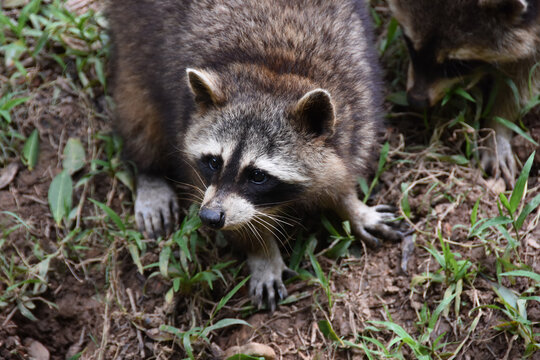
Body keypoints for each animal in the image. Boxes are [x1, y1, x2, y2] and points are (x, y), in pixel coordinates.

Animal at [109, 0, 402, 310]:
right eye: (214, 162)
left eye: (258, 176)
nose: (209, 217)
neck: (274, 72)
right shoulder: (186, 131)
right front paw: (261, 251)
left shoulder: (358, 110)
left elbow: (341, 173)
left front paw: (351, 205)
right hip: (132, 37)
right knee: (137, 109)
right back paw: (149, 170)